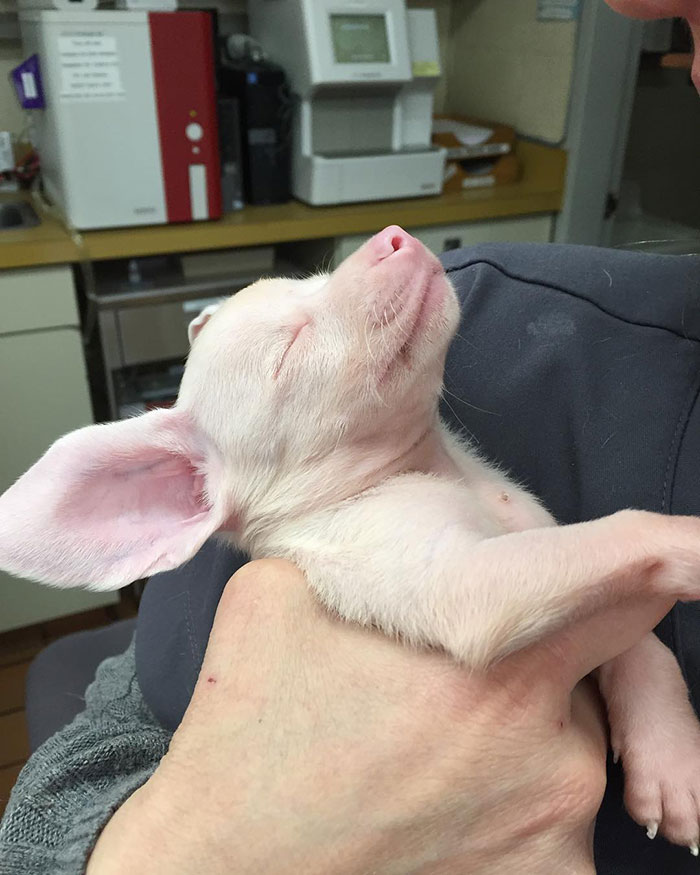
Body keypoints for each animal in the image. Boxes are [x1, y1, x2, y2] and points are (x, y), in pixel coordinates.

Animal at [2, 225, 700, 854]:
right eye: (288, 350)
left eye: (312, 277)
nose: (392, 236)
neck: (440, 471)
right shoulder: (457, 581)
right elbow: (624, 535)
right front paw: (689, 540)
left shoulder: (541, 539)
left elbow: (639, 641)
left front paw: (668, 759)